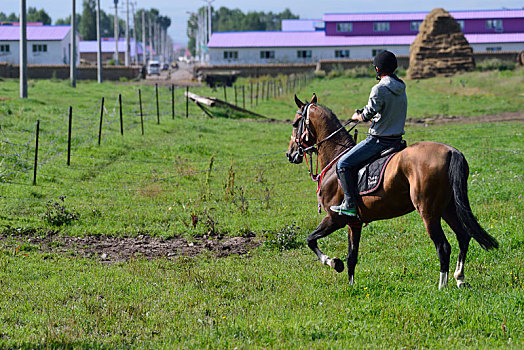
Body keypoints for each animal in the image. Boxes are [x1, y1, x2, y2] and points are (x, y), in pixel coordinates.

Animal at [284, 93, 498, 290]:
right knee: (463, 237)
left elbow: (311, 240)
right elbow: (352, 257)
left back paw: (442, 285)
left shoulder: (335, 218)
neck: (336, 158)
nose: (290, 154)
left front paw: (334, 262)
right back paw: (459, 278)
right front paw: (351, 286)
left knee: (443, 246)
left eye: (295, 123)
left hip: (429, 212)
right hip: (448, 208)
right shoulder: (354, 224)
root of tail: (450, 151)